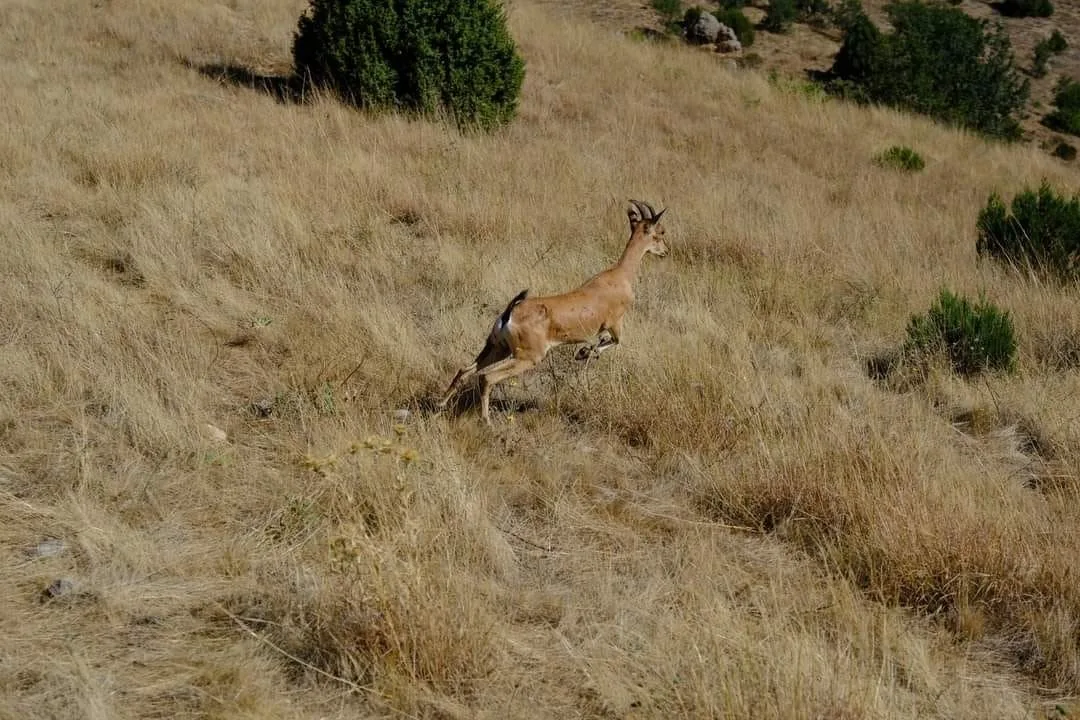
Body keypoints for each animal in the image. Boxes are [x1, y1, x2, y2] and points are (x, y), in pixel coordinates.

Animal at [436, 197, 665, 425]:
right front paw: (584, 352)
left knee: (465, 370)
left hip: (497, 349)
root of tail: (509, 314)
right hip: (527, 358)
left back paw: (440, 405)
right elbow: (615, 341)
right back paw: (487, 422)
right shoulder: (614, 324)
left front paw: (583, 352)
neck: (619, 275)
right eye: (660, 232)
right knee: (486, 377)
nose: (665, 251)